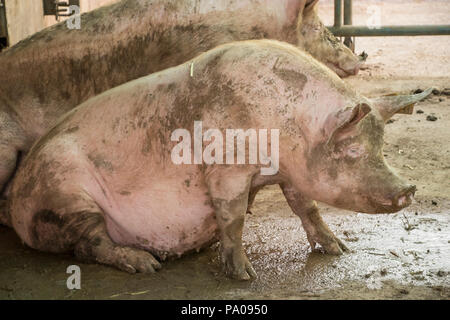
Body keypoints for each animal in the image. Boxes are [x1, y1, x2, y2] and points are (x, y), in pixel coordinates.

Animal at [6, 40, 426, 280]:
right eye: (352, 151)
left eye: (382, 146)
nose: (409, 188)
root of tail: (13, 203)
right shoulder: (227, 167)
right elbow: (233, 215)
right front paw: (245, 277)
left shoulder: (291, 173)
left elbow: (306, 207)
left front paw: (339, 249)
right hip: (66, 194)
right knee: (88, 244)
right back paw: (146, 264)